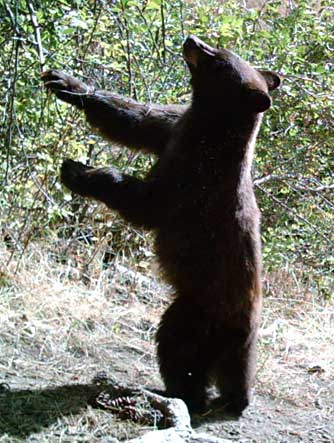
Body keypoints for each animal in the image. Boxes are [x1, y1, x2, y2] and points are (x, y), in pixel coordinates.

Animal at [42, 36, 282, 414]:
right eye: (219, 48)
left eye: (218, 59)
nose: (192, 40)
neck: (208, 128)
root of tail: (247, 332)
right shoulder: (176, 128)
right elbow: (137, 120)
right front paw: (68, 83)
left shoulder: (195, 181)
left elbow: (147, 205)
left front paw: (79, 171)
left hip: (200, 312)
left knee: (176, 347)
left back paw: (180, 394)